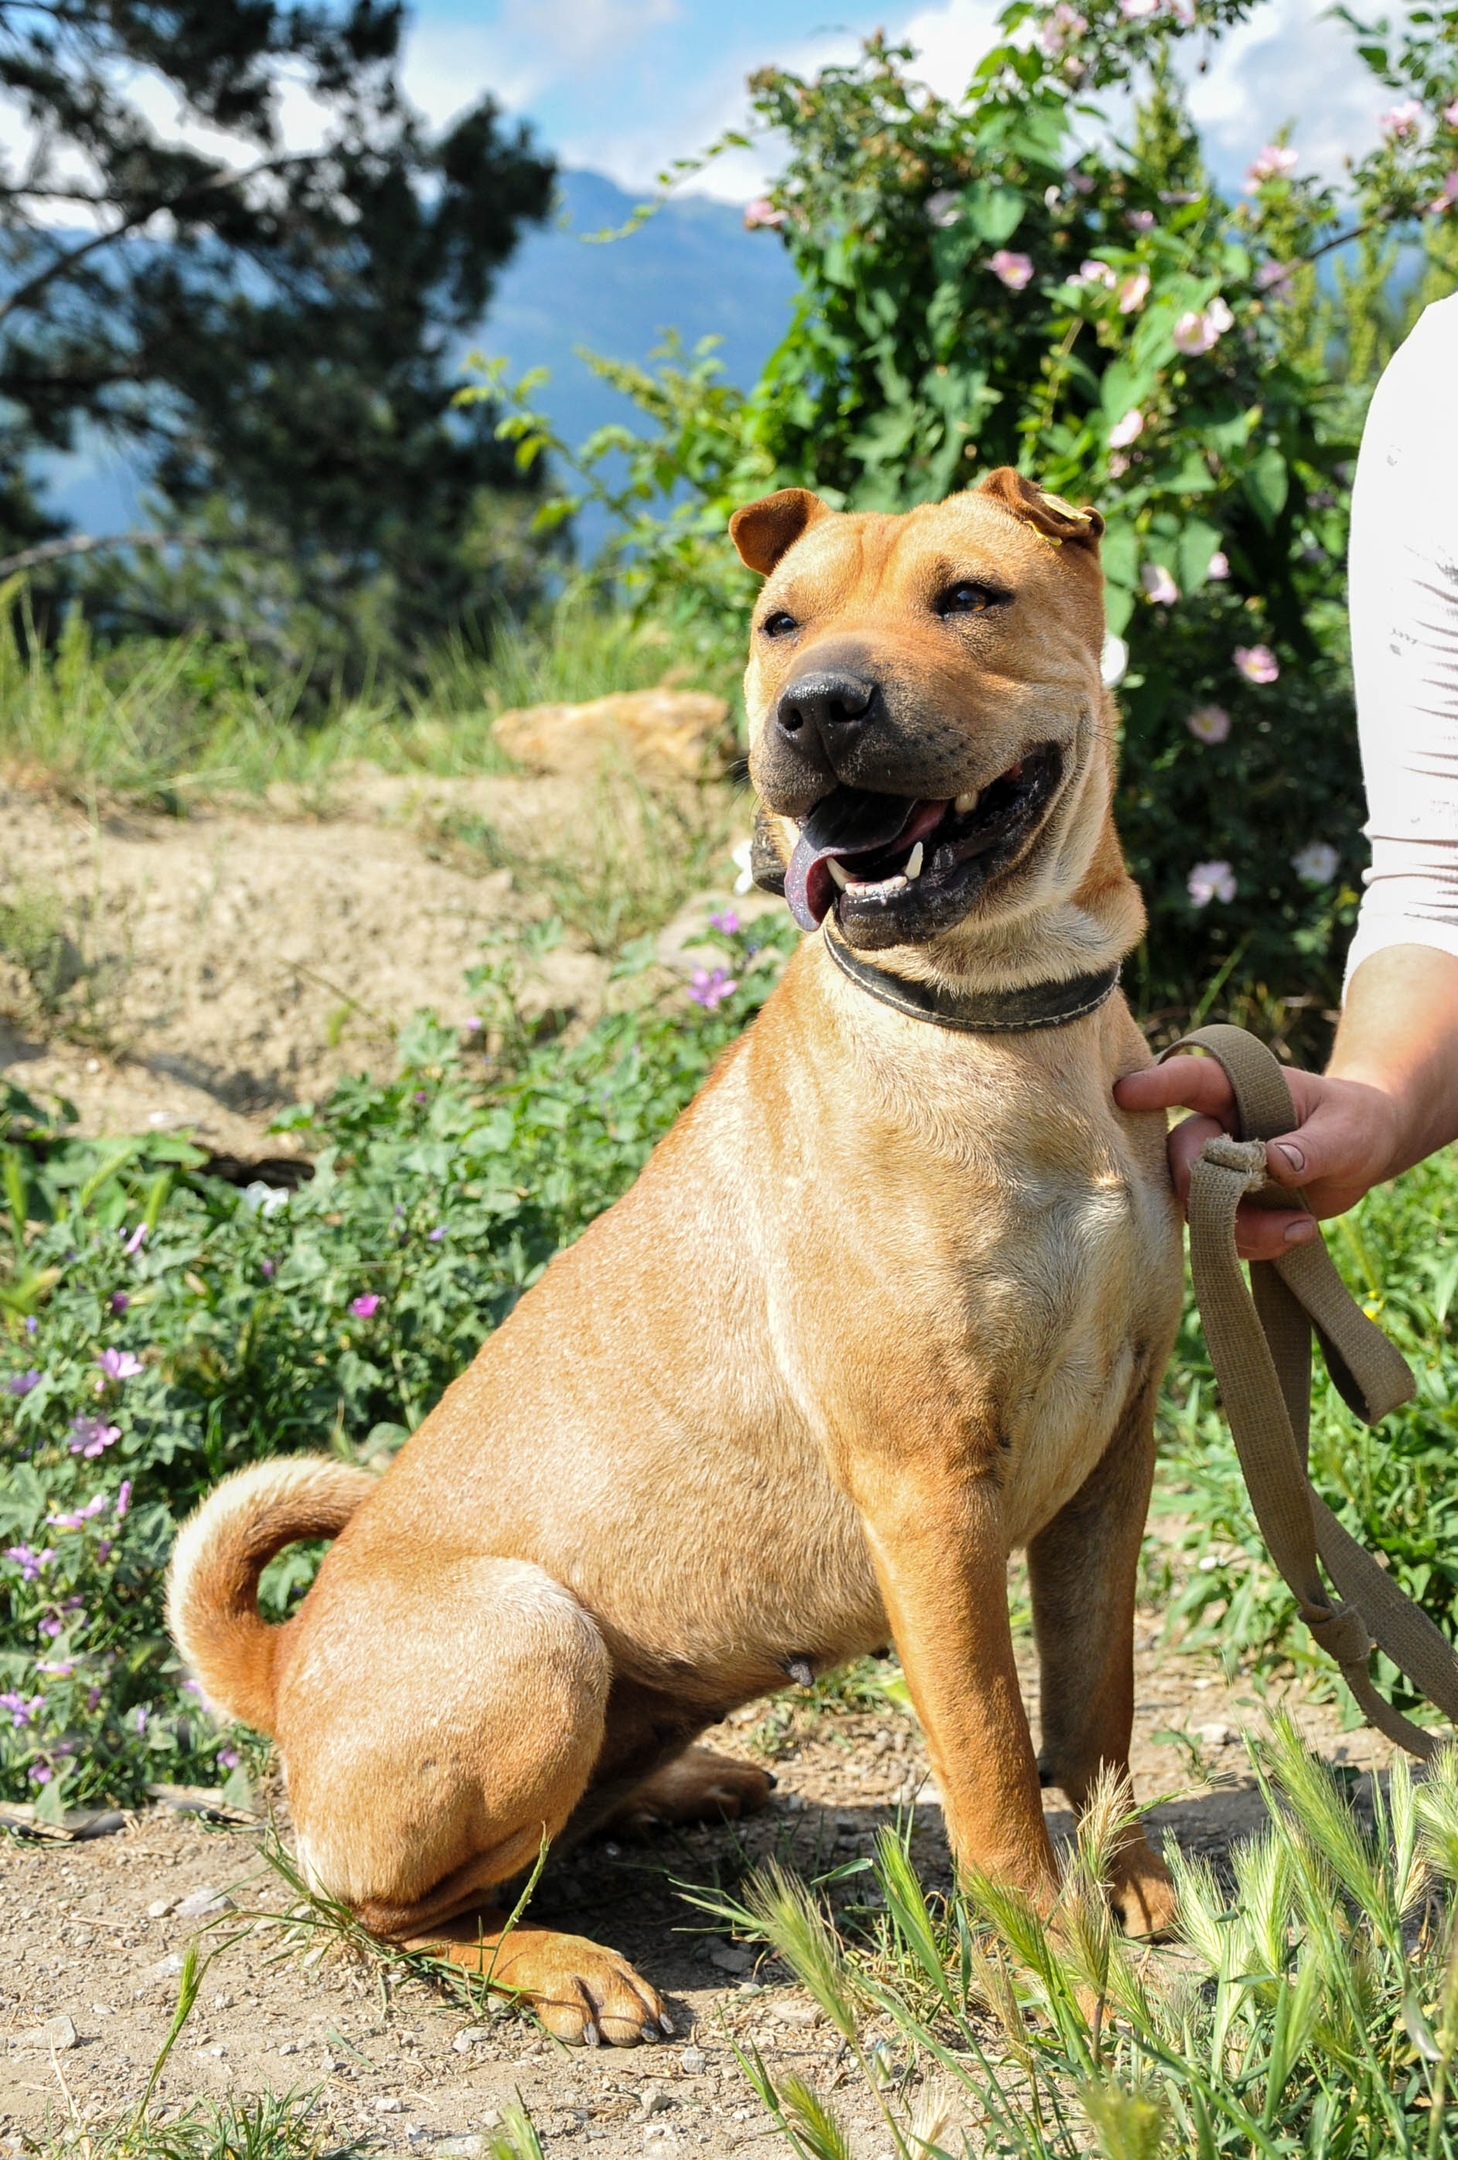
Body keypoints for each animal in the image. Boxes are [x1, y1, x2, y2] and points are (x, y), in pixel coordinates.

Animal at [170, 473, 1183, 2039]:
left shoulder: (1110, 1459)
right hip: (535, 1640)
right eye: (781, 624)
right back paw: (564, 1963)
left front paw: (1126, 1882)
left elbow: (1096, 1708)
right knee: (398, 1913)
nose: (820, 709)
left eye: (970, 596)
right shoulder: (929, 1497)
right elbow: (992, 1767)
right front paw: (1050, 1961)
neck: (1003, 1025)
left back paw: (681, 1786)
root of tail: (284, 1665)